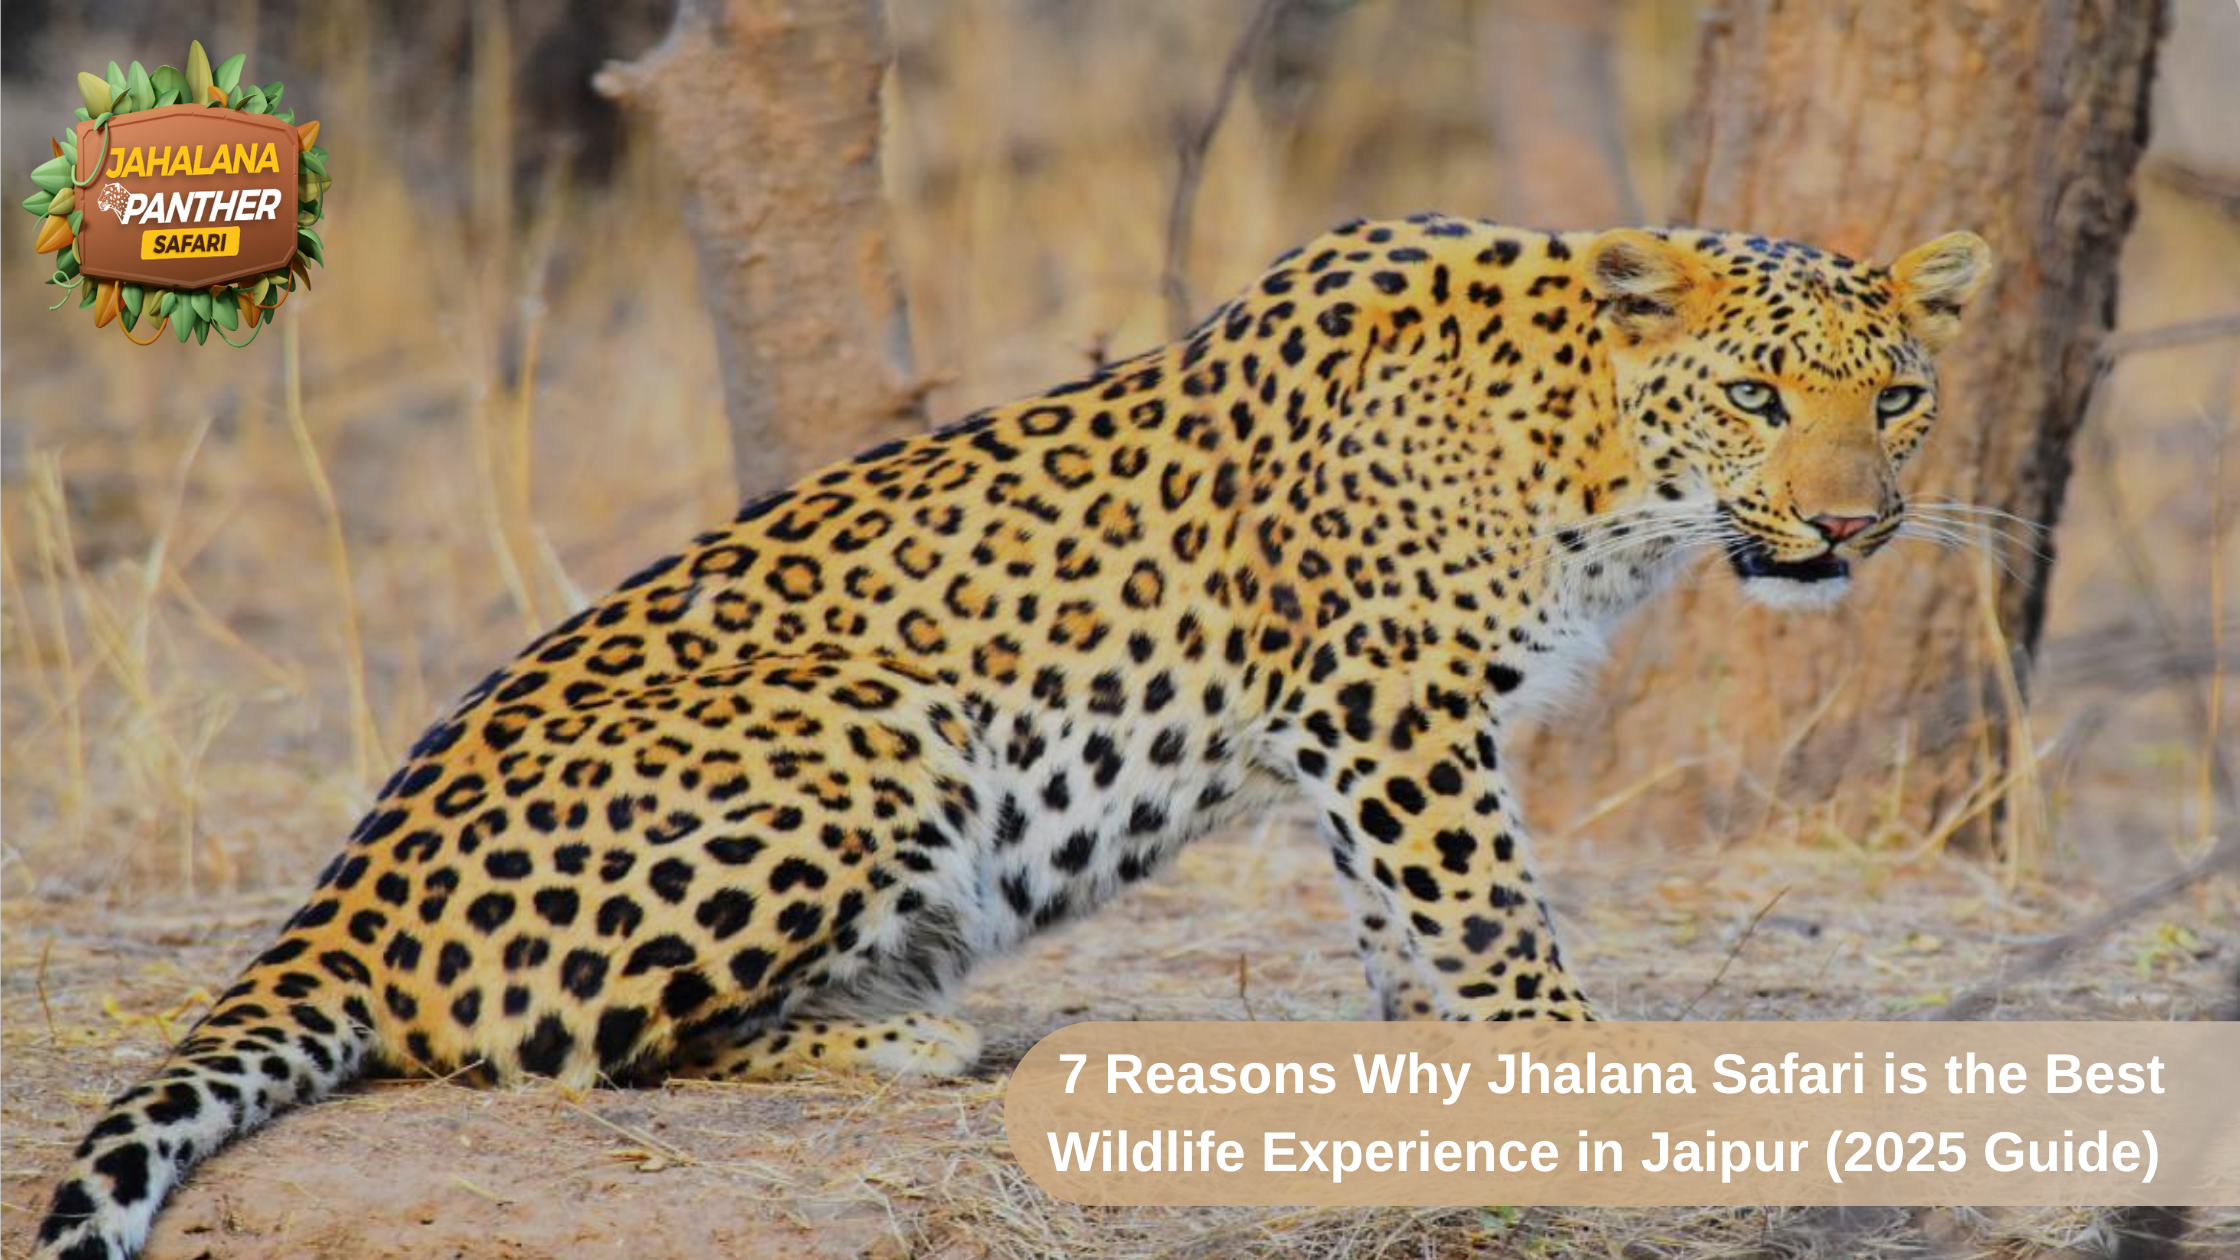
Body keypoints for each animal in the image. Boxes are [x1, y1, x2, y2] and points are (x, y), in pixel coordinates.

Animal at [36, 214, 1990, 1260]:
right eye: (1756, 396)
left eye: (1898, 396)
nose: (1854, 526)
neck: (1596, 466)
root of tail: (338, 903)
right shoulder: (1391, 707)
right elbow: (1492, 920)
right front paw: (1589, 1076)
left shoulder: (1387, 741)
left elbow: (1407, 934)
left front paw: (1432, 1079)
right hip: (869, 727)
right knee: (562, 1049)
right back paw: (903, 1044)